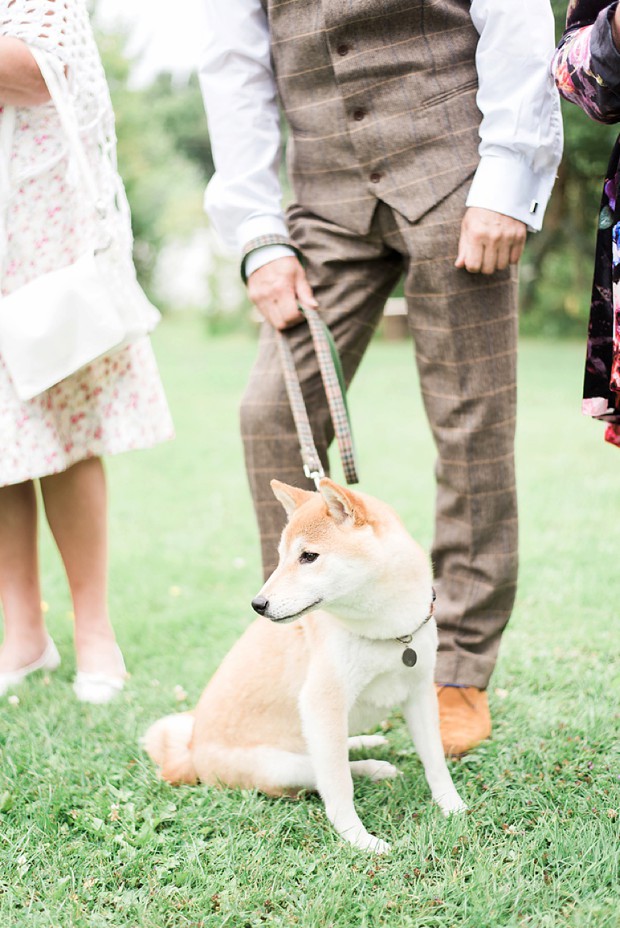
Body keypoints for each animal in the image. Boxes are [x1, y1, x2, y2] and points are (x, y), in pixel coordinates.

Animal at [144, 482, 464, 852]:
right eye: (282, 556)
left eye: (308, 556)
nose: (258, 604)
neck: (388, 630)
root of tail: (191, 752)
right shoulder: (322, 702)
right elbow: (338, 787)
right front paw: (358, 838)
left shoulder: (420, 692)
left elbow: (435, 761)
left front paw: (452, 805)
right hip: (280, 766)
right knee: (325, 769)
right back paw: (373, 767)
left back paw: (366, 743)